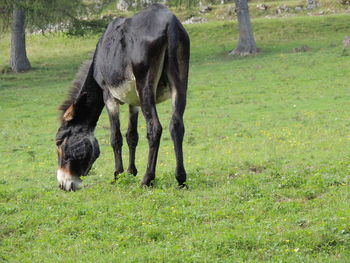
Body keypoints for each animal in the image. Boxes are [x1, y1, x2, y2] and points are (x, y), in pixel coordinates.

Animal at [55, 4, 190, 192]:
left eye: (59, 142)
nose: (63, 185)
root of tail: (170, 23)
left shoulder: (109, 97)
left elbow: (115, 137)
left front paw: (118, 175)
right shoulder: (134, 103)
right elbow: (131, 135)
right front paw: (131, 172)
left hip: (145, 86)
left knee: (154, 128)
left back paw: (147, 179)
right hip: (179, 83)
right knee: (176, 125)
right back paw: (181, 179)